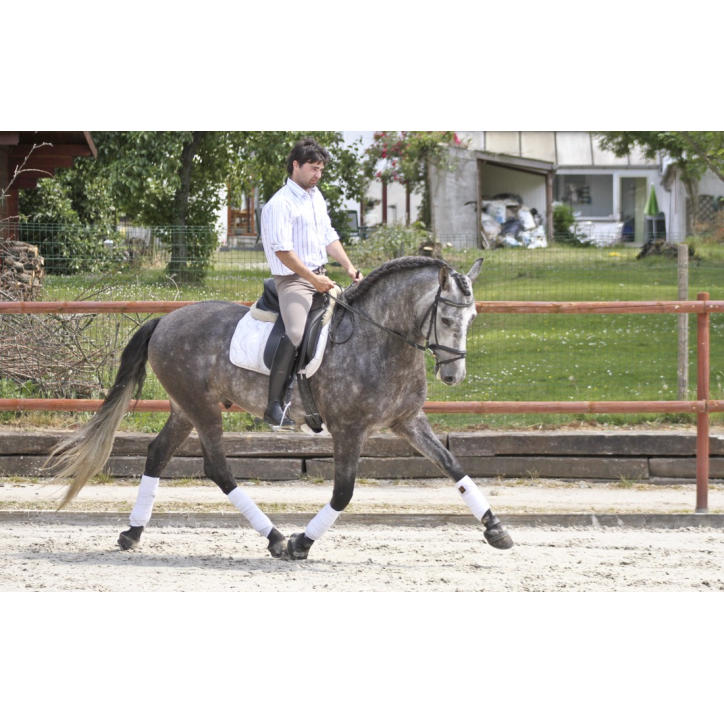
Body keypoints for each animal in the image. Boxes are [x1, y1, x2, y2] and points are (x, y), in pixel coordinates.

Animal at [46, 256, 514, 559]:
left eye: (473, 318)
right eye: (448, 320)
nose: (453, 376)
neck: (381, 339)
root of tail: (166, 319)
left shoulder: (408, 421)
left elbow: (453, 466)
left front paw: (496, 529)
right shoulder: (349, 429)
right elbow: (343, 493)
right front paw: (302, 543)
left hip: (185, 406)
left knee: (158, 453)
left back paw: (132, 532)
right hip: (201, 407)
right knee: (218, 468)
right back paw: (274, 538)